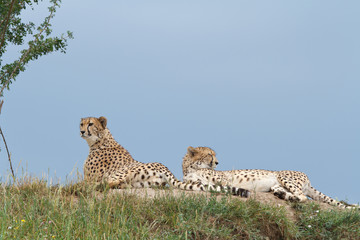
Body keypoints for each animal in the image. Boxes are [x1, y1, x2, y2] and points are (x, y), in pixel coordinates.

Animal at [80, 116, 249, 197]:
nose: (81, 131)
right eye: (82, 124)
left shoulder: (90, 177)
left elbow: (88, 181)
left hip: (124, 173)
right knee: (118, 185)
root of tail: (164, 168)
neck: (101, 141)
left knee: (107, 183)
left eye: (90, 124)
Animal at [183, 145, 360, 209]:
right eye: (209, 155)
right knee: (293, 195)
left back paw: (288, 196)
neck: (192, 167)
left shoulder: (225, 180)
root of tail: (308, 178)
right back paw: (282, 195)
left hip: (283, 176)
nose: (217, 162)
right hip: (277, 184)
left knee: (302, 197)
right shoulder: (192, 181)